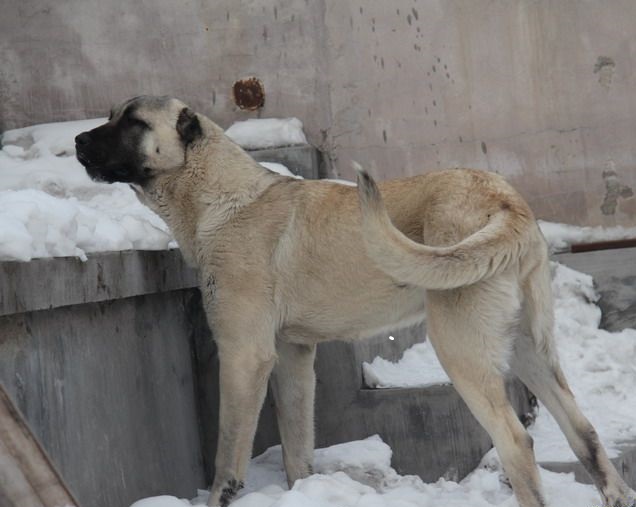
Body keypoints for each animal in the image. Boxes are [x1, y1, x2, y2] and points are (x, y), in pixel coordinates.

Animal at [76, 96, 636, 507]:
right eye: (112, 115)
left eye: (133, 121)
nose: (78, 139)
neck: (218, 196)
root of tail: (504, 199)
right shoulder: (293, 358)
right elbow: (297, 447)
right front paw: (302, 493)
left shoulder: (244, 355)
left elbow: (227, 452)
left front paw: (223, 496)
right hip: (529, 349)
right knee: (584, 434)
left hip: (460, 348)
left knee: (517, 443)